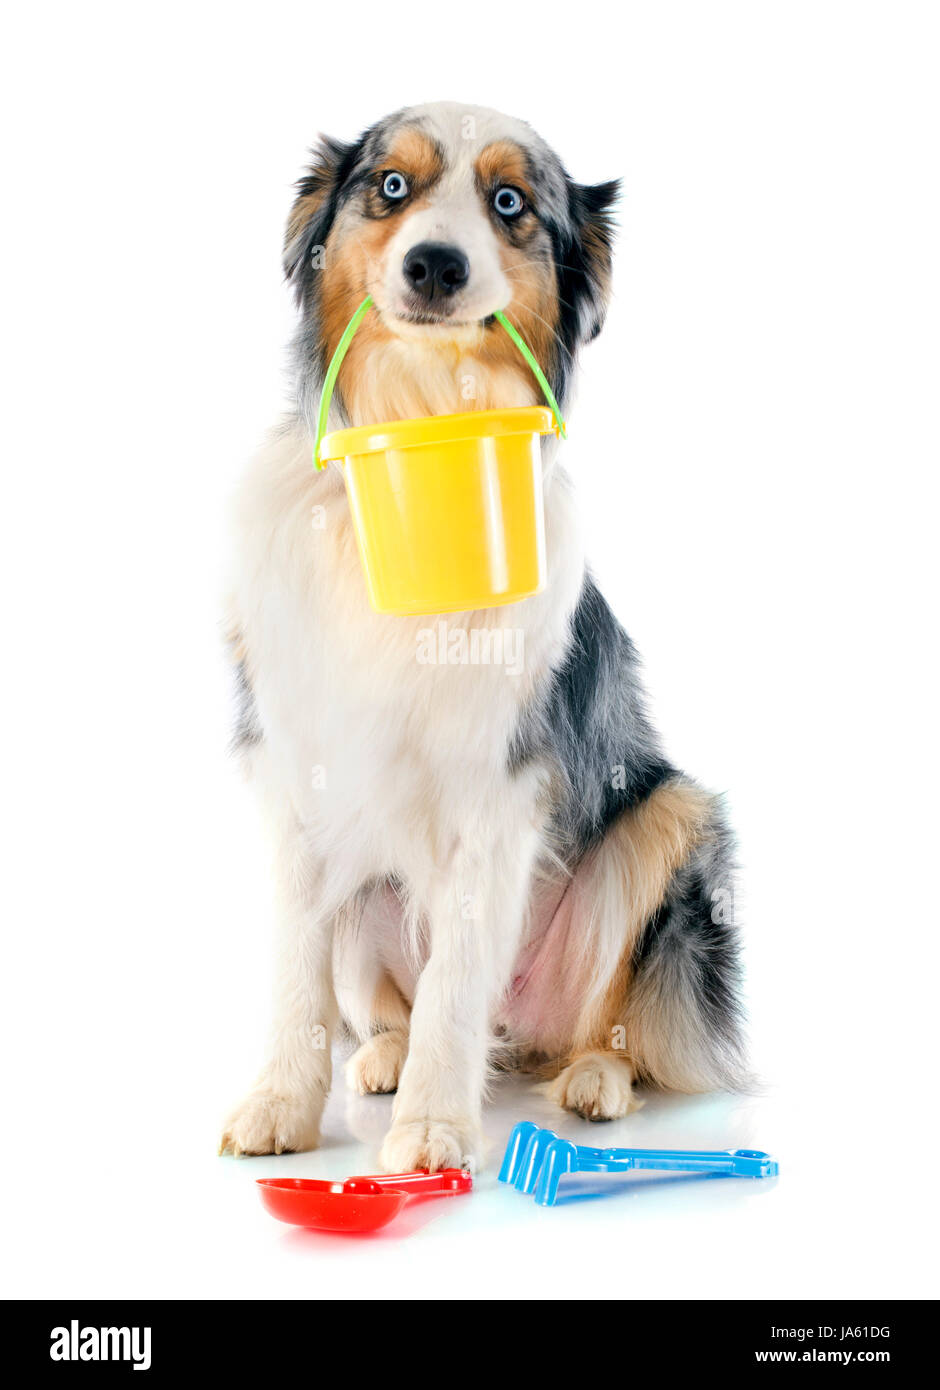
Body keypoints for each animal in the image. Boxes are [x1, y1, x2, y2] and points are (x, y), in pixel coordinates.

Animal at [219, 102, 739, 1173]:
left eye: (509, 203)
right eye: (391, 187)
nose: (435, 266)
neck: (420, 425)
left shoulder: (502, 790)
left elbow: (458, 979)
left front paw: (430, 1131)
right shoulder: (294, 766)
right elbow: (294, 970)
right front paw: (282, 1105)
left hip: (670, 817)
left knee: (604, 1025)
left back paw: (593, 1080)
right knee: (390, 1002)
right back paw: (381, 1054)